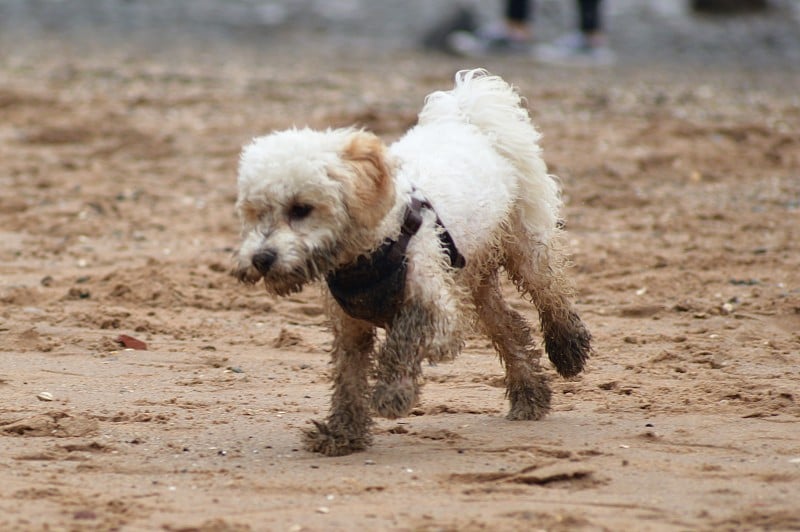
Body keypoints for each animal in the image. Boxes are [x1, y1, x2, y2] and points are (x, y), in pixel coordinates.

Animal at [231, 68, 588, 456]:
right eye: (256, 212)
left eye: (301, 209)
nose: (262, 258)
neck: (371, 249)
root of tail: (469, 118)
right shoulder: (350, 327)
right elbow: (348, 378)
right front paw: (342, 432)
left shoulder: (439, 313)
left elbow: (402, 339)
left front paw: (393, 394)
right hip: (473, 276)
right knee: (510, 325)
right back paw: (529, 395)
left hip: (526, 243)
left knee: (551, 292)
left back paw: (568, 348)